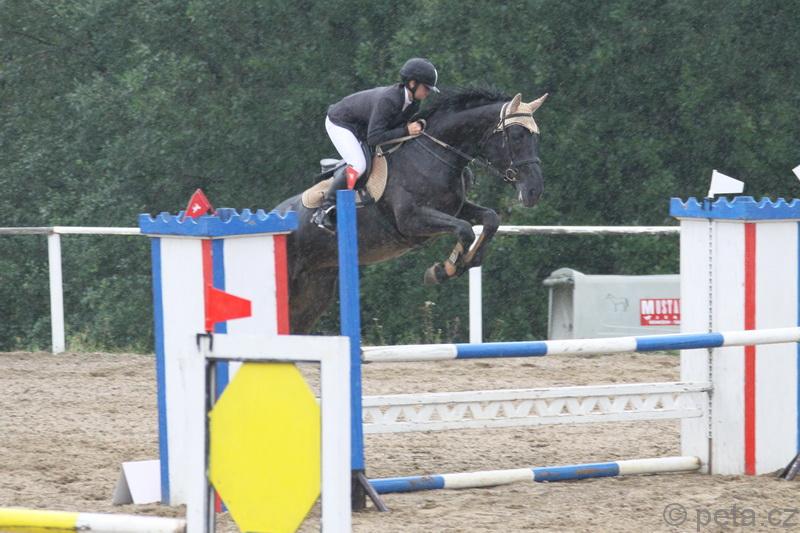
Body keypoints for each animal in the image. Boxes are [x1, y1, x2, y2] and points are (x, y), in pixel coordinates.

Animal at [274, 88, 547, 333]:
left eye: (535, 136)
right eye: (516, 135)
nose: (534, 191)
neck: (435, 154)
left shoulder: (456, 208)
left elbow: (490, 220)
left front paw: (459, 264)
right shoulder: (411, 220)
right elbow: (465, 230)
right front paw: (445, 269)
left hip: (313, 293)